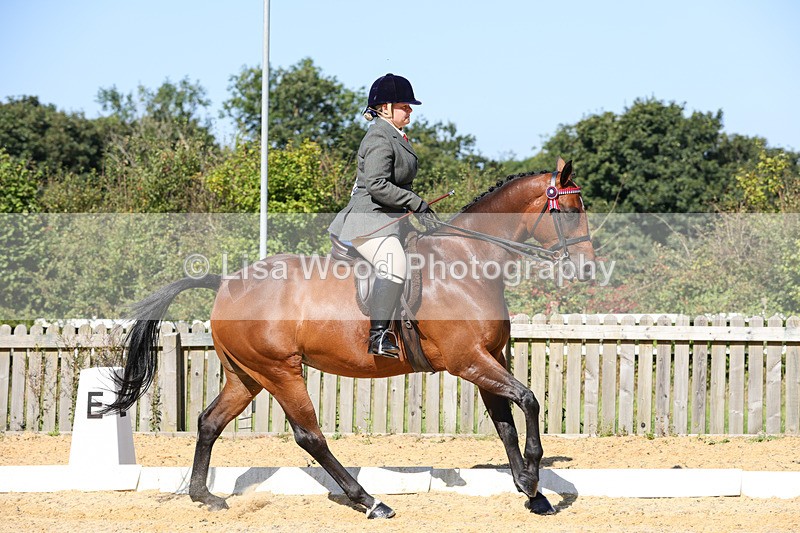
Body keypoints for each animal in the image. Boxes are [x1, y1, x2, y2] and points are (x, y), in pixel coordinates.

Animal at [106, 157, 595, 518]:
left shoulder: (489, 357)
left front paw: (531, 491)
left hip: (245, 375)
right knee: (310, 436)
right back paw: (370, 501)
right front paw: (533, 477)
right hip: (280, 370)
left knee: (210, 421)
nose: (588, 269)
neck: (470, 260)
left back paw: (203, 496)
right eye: (571, 212)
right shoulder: (470, 360)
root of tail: (227, 282)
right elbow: (528, 401)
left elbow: (505, 422)